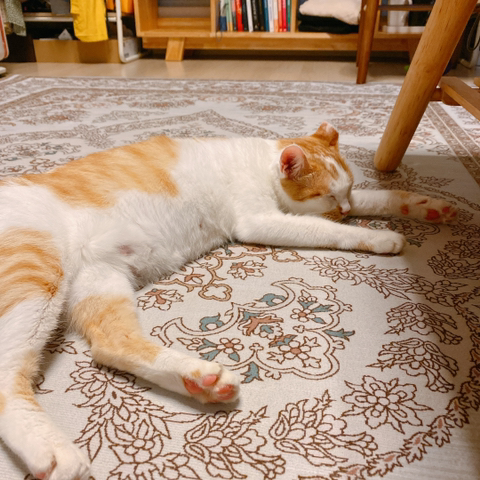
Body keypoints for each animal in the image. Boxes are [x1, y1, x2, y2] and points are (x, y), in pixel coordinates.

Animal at [0, 122, 457, 480]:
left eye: (345, 189)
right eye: (328, 196)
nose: (343, 208)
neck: (261, 163)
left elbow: (381, 198)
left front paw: (428, 207)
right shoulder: (261, 220)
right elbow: (329, 230)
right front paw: (377, 236)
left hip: (100, 278)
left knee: (110, 346)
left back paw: (199, 379)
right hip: (35, 275)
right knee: (9, 374)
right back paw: (53, 452)